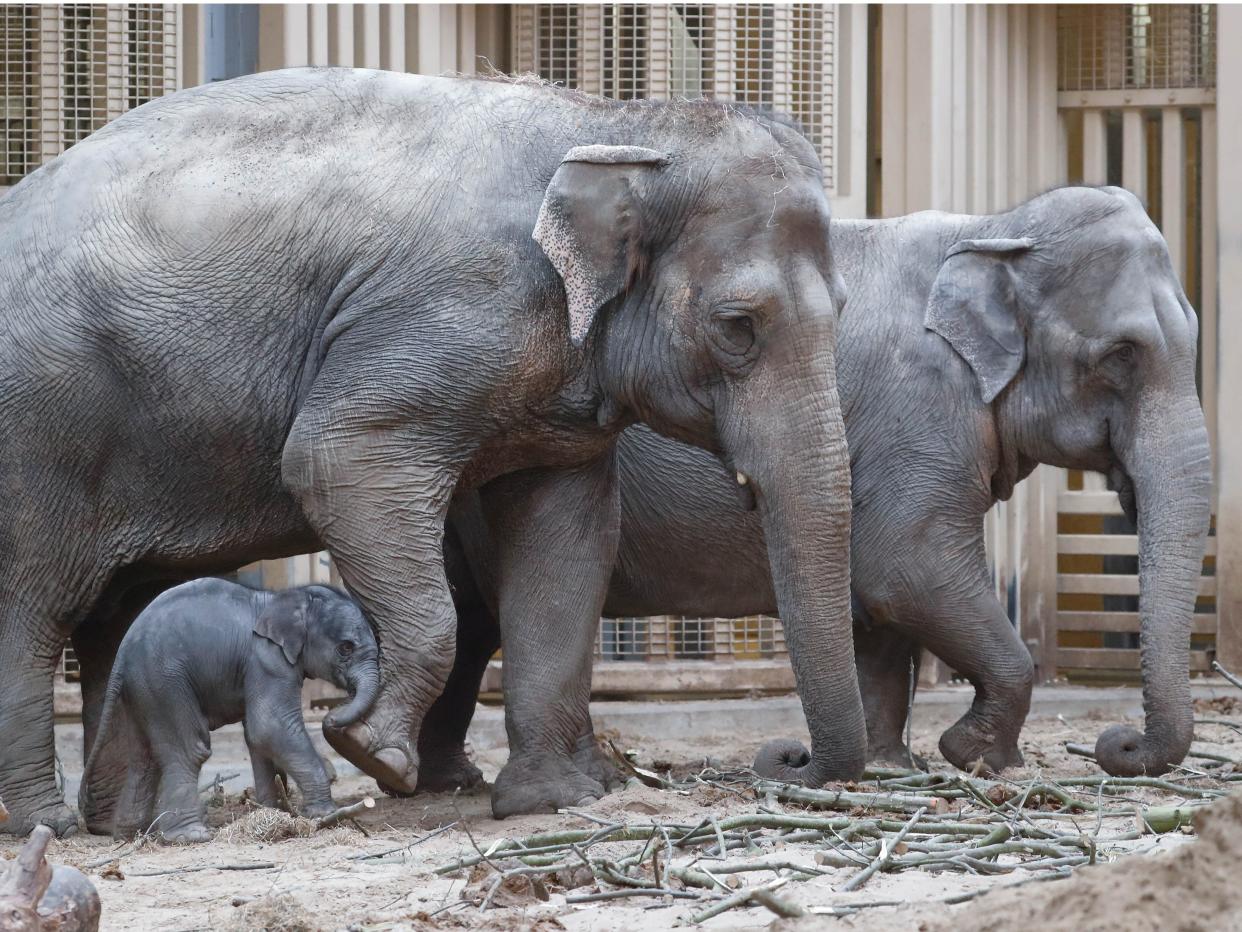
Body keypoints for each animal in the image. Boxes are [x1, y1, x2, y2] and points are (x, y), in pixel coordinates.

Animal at [83, 581, 377, 845]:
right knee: (190, 750)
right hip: (165, 681)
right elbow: (269, 727)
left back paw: (130, 835)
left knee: (143, 758)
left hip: (141, 689)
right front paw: (324, 814)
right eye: (346, 647)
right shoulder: (267, 659)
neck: (286, 597)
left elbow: (256, 738)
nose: (330, 718)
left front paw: (270, 812)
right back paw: (190, 836)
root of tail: (123, 652)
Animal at [432, 186, 1207, 790]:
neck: (994, 225)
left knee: (471, 621)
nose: (1117, 744)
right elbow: (906, 568)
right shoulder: (917, 415)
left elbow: (881, 615)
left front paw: (892, 765)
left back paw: (459, 778)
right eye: (1120, 357)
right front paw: (975, 756)